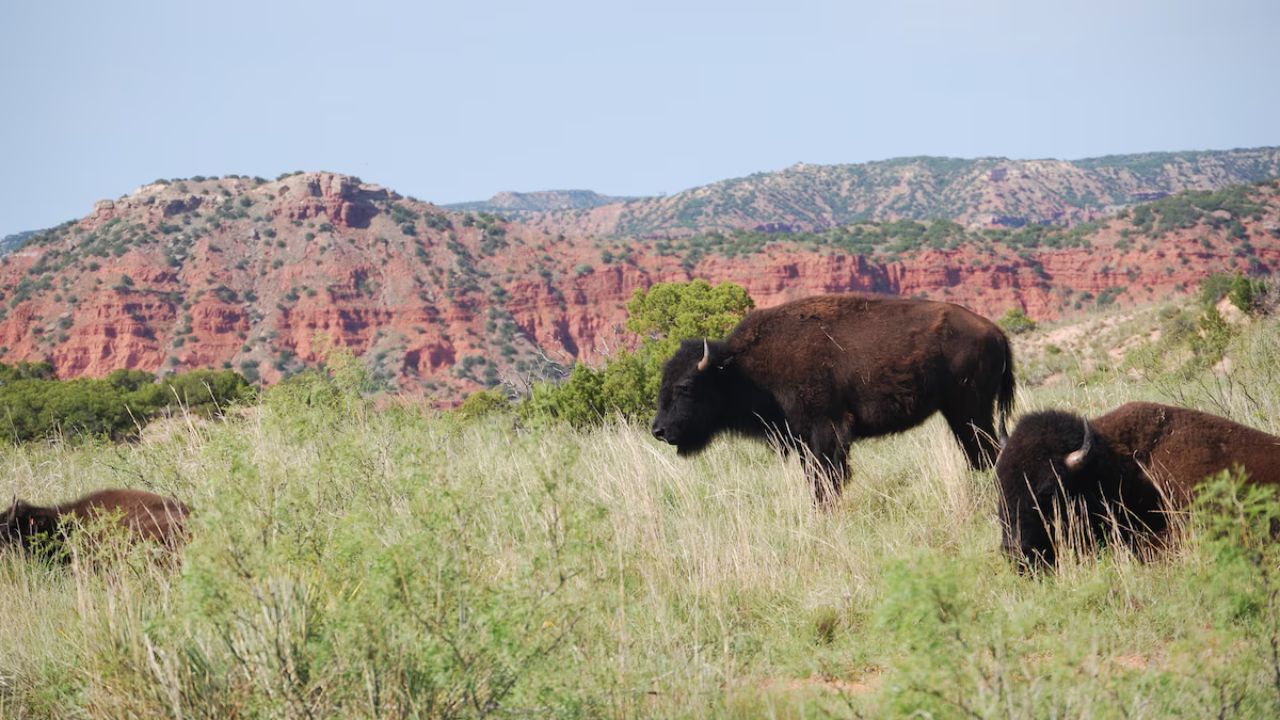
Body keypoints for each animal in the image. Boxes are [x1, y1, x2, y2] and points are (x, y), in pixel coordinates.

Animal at [655, 292, 1013, 499]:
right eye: (663, 383)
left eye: (685, 386)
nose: (658, 430)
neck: (738, 369)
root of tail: (995, 331)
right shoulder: (803, 438)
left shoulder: (826, 430)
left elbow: (825, 479)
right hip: (960, 413)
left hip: (969, 410)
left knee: (985, 452)